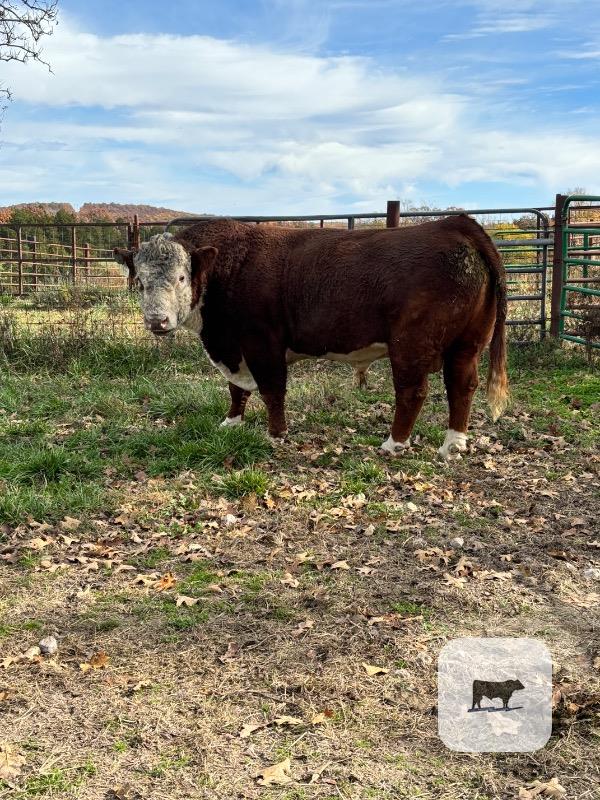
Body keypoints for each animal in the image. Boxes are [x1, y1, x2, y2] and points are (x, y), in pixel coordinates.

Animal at [114, 215, 508, 458]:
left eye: (181, 277)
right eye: (141, 281)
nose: (157, 321)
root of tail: (455, 224)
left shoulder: (261, 343)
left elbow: (271, 390)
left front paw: (275, 434)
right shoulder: (233, 347)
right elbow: (237, 389)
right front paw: (231, 422)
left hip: (411, 344)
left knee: (413, 391)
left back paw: (393, 443)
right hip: (468, 342)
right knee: (462, 386)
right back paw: (453, 444)